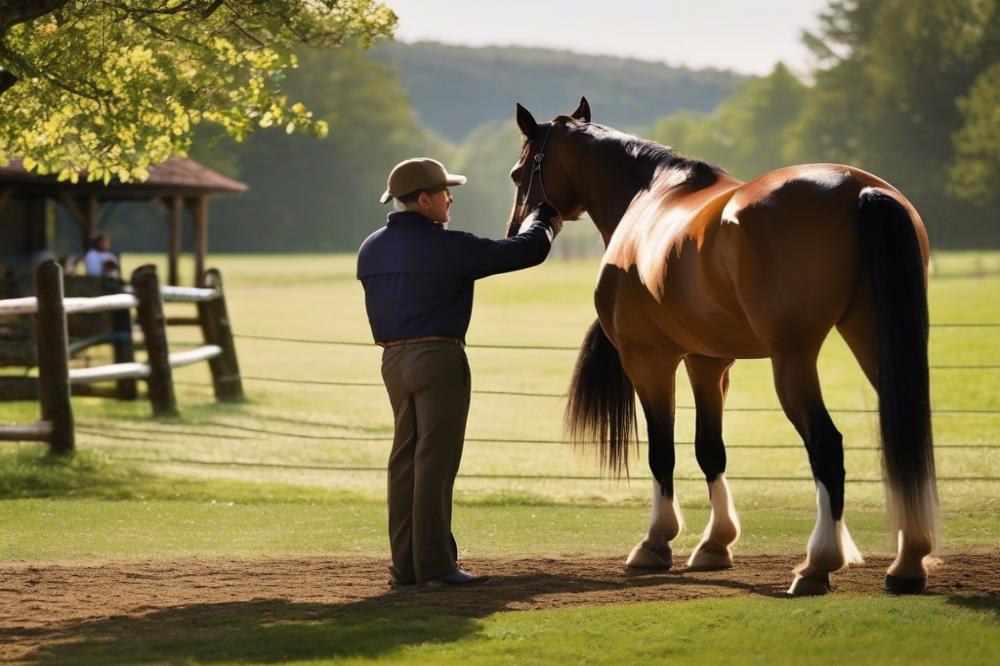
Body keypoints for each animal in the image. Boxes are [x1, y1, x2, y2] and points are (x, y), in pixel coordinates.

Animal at [506, 97, 938, 596]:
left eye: (518, 173)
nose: (516, 228)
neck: (647, 197)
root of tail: (860, 191)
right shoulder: (707, 362)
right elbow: (709, 448)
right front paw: (715, 544)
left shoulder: (648, 361)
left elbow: (662, 452)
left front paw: (655, 543)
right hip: (872, 338)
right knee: (907, 431)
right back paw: (908, 562)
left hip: (793, 359)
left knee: (827, 445)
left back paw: (817, 564)